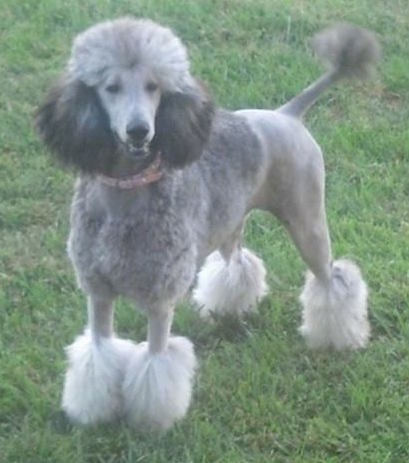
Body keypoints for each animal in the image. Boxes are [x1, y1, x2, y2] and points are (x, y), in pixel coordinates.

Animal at [35, 17, 380, 432]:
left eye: (154, 87)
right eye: (110, 87)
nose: (139, 131)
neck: (127, 192)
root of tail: (287, 114)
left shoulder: (160, 299)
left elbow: (156, 362)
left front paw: (151, 423)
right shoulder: (98, 292)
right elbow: (98, 353)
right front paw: (92, 414)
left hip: (307, 222)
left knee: (332, 281)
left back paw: (338, 338)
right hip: (231, 224)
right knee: (239, 263)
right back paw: (230, 306)